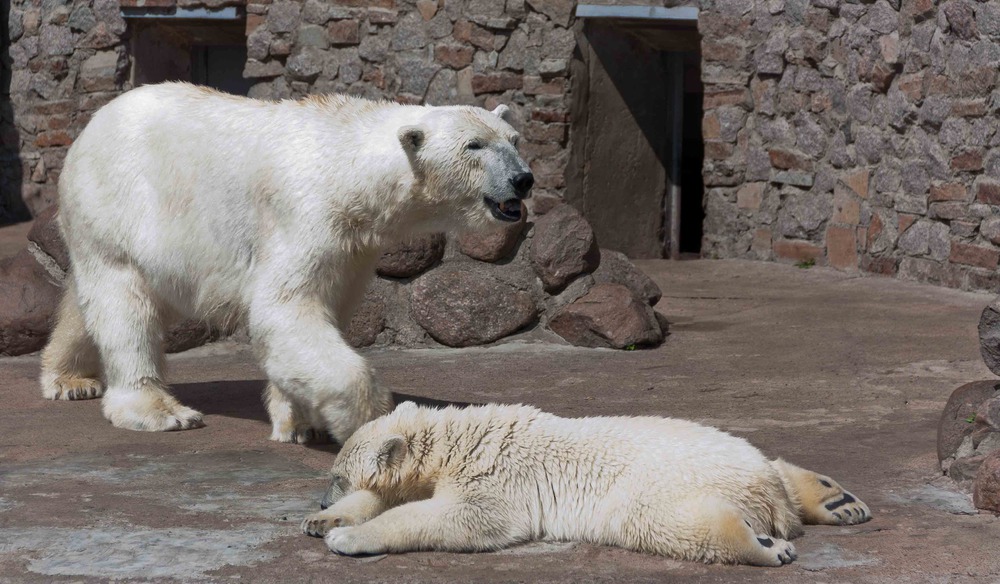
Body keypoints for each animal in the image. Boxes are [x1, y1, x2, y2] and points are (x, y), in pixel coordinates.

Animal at [41, 82, 532, 444]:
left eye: (513, 140)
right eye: (474, 145)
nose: (523, 179)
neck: (347, 163)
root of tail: (90, 127)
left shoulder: (352, 245)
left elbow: (318, 313)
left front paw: (298, 421)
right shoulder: (304, 214)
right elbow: (284, 307)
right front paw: (364, 420)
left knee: (95, 302)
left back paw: (69, 378)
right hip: (118, 204)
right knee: (125, 305)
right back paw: (160, 410)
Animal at [302, 402, 868, 564]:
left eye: (335, 474)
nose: (323, 494)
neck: (460, 441)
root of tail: (765, 491)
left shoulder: (496, 478)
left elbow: (460, 518)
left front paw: (346, 537)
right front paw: (321, 520)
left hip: (668, 479)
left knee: (659, 521)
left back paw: (767, 547)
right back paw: (838, 500)